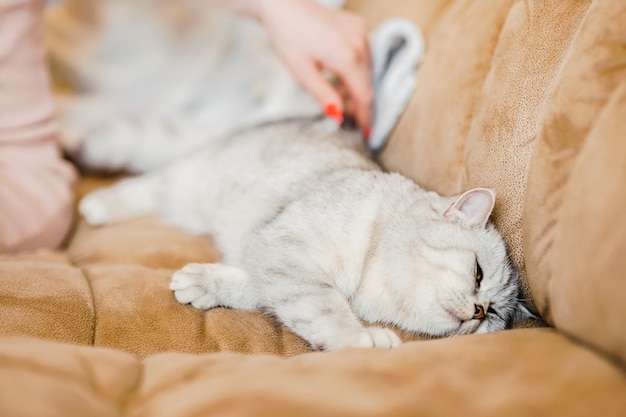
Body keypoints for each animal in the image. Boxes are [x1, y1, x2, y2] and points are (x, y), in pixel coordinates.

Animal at [79, 118, 528, 350]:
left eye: (494, 315)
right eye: (477, 275)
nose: (478, 311)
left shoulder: (272, 259)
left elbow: (260, 290)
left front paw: (203, 284)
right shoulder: (288, 250)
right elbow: (326, 308)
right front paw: (361, 338)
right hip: (191, 182)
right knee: (147, 186)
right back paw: (97, 206)